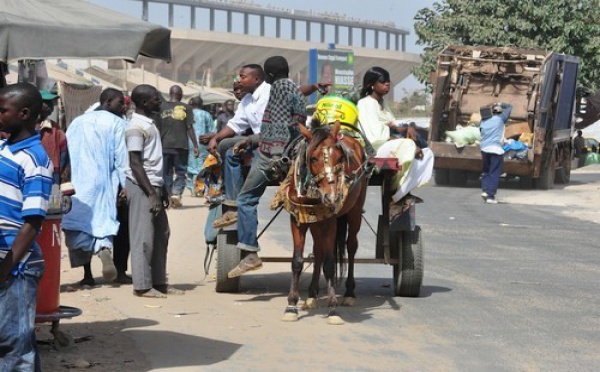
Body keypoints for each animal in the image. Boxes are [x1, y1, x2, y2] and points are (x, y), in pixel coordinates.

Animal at [276, 122, 370, 326]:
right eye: (313, 158)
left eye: (340, 157)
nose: (332, 197)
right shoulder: (298, 219)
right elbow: (297, 261)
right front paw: (291, 305)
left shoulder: (329, 221)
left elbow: (329, 264)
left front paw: (333, 308)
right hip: (314, 221)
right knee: (318, 250)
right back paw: (312, 295)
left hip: (354, 212)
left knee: (351, 246)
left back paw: (349, 293)